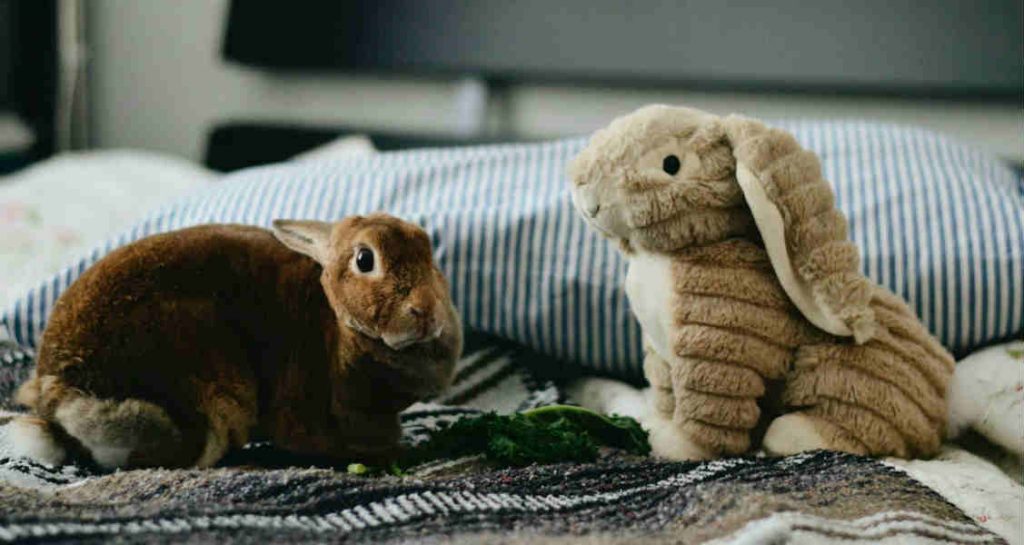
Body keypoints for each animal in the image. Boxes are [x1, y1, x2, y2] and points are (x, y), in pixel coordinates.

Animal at [9, 215, 460, 471]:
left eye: (429, 252)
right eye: (365, 259)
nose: (425, 311)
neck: (339, 321)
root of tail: (63, 393)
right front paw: (397, 453)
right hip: (213, 385)